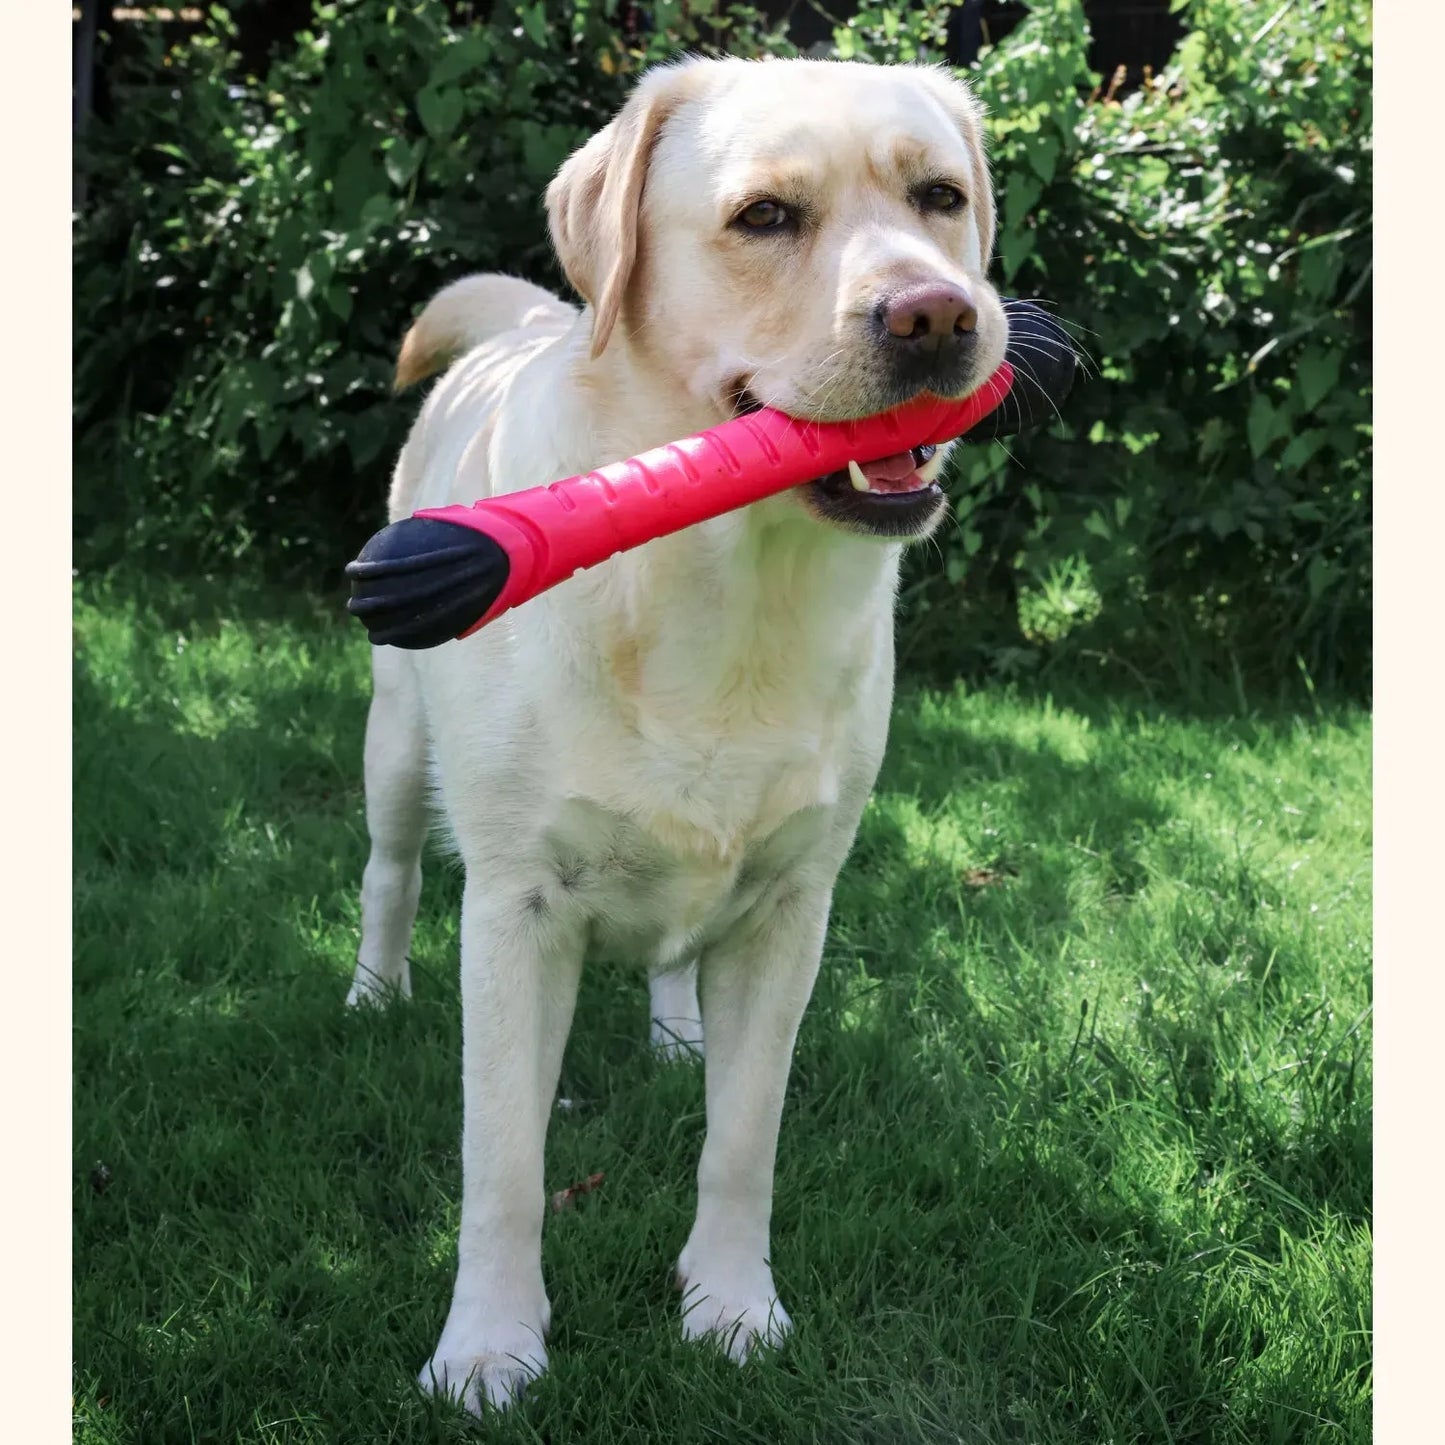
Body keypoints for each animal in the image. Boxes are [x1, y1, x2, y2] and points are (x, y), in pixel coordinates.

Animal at [346, 56, 1005, 1410]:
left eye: (939, 196)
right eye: (764, 216)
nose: (936, 315)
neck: (730, 587)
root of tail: (536, 315)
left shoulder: (794, 905)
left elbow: (742, 1138)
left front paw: (731, 1304)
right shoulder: (514, 908)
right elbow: (501, 1164)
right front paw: (487, 1344)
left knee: (673, 951)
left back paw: (672, 1031)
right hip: (393, 737)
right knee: (388, 869)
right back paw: (372, 993)